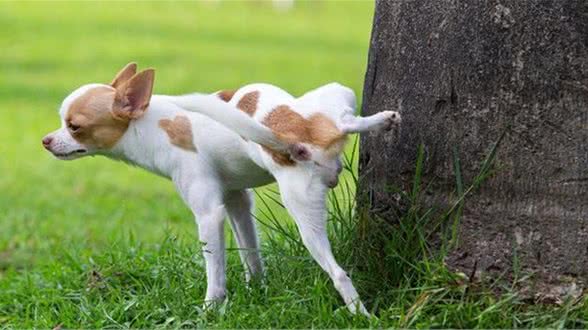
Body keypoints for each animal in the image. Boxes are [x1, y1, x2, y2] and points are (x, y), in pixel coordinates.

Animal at [41, 62, 400, 314]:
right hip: (333, 101)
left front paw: (211, 310)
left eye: (74, 127)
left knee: (339, 274)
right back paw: (381, 120)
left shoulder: (209, 214)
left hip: (300, 205)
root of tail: (293, 136)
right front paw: (257, 290)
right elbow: (251, 253)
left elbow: (215, 272)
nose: (46, 140)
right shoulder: (237, 201)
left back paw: (362, 317)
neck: (149, 124)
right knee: (344, 120)